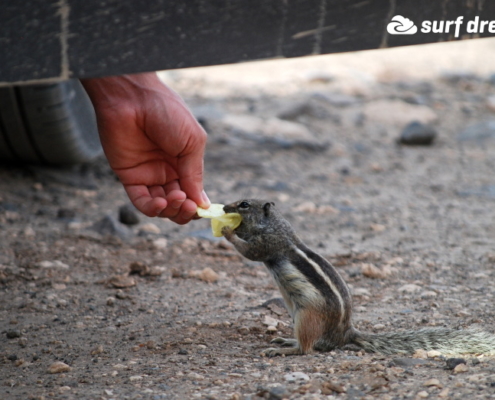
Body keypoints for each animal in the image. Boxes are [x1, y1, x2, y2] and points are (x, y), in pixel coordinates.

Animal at [223, 199, 495, 356]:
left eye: (244, 204)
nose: (225, 208)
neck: (275, 225)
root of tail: (345, 334)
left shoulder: (268, 244)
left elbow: (250, 252)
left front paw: (227, 230)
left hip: (306, 317)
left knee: (307, 348)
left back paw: (286, 350)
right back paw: (285, 341)